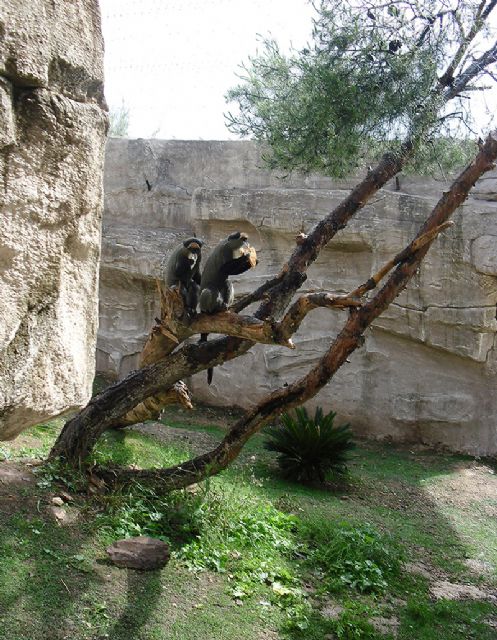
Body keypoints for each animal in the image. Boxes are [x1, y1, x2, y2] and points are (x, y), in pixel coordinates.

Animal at [199, 231, 257, 383]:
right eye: (244, 239)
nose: (247, 244)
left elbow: (229, 273)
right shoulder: (225, 251)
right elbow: (224, 269)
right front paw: (247, 257)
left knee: (227, 282)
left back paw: (225, 307)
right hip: (206, 300)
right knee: (210, 290)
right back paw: (213, 310)